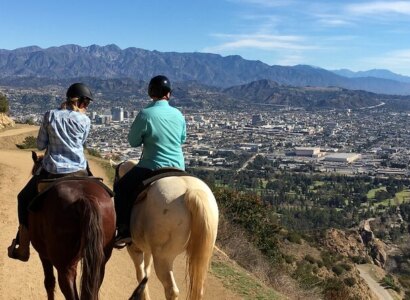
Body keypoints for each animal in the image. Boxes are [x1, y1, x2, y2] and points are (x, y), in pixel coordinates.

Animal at [113, 161, 218, 300]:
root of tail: (191, 192)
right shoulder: (147, 249)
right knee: (198, 289)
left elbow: (140, 273)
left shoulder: (135, 248)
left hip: (163, 258)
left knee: (171, 290)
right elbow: (146, 272)